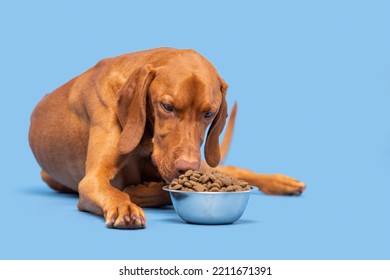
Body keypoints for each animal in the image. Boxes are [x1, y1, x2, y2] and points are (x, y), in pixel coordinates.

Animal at [29, 47, 304, 229]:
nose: (186, 166)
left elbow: (160, 191)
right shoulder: (91, 180)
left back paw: (282, 182)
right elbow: (118, 191)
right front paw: (125, 204)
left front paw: (138, 191)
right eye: (167, 107)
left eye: (209, 113)